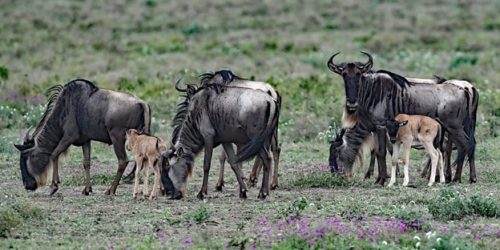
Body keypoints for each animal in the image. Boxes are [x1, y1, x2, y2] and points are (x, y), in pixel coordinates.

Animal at [13, 79, 150, 195]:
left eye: (28, 157)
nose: (27, 185)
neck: (64, 109)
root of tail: (141, 103)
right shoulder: (85, 140)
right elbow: (86, 162)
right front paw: (87, 189)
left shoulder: (69, 137)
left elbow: (54, 154)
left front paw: (54, 186)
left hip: (117, 138)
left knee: (123, 161)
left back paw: (110, 190)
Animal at [326, 51, 478, 185]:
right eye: (344, 74)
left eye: (358, 74)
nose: (334, 174)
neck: (371, 92)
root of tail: (465, 89)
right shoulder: (376, 129)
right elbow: (379, 151)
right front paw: (380, 178)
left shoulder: (381, 127)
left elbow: (381, 152)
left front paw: (381, 180)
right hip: (455, 128)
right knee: (462, 145)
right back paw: (460, 177)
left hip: (454, 126)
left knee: (465, 145)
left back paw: (458, 178)